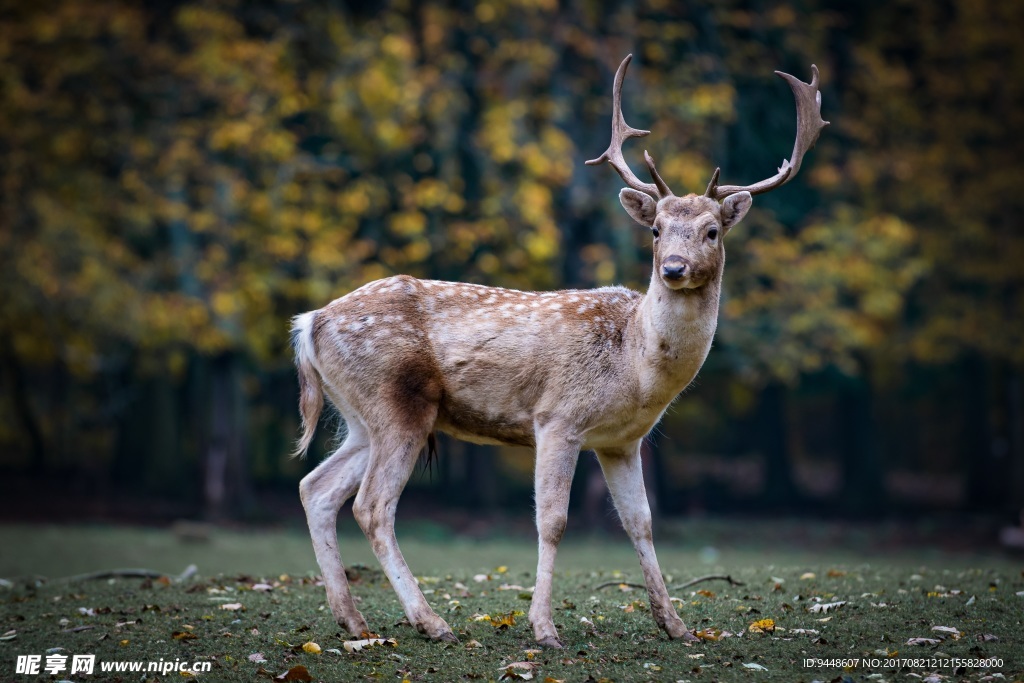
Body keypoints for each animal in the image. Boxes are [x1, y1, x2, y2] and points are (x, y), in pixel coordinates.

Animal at [292, 56, 827, 651]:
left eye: (712, 231)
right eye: (657, 229)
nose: (673, 268)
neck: (634, 365)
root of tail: (309, 323)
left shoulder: (621, 441)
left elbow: (641, 521)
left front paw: (677, 625)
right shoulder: (557, 418)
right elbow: (553, 521)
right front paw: (544, 629)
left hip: (361, 416)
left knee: (316, 487)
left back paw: (353, 621)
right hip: (396, 402)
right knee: (371, 506)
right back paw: (431, 622)